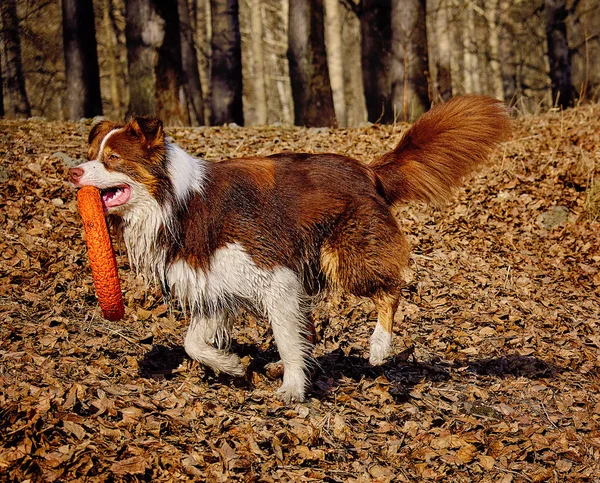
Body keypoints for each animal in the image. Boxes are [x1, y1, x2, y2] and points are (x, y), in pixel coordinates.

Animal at [69, 96, 510, 402]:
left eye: (113, 158)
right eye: (90, 156)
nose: (72, 171)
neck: (176, 201)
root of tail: (368, 171)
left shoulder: (273, 275)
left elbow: (282, 333)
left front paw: (294, 389)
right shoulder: (213, 285)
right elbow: (192, 344)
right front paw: (231, 366)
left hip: (345, 257)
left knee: (391, 290)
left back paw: (378, 347)